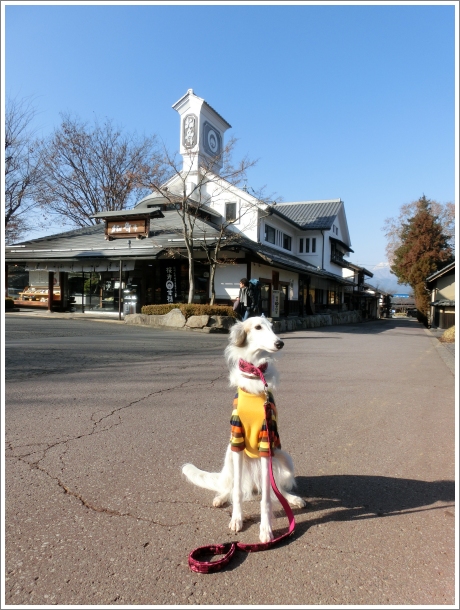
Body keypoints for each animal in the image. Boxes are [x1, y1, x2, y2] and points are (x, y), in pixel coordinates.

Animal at [182, 316, 305, 543]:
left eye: (272, 327)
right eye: (257, 327)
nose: (280, 343)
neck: (256, 377)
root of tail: (254, 483)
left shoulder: (266, 443)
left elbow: (267, 499)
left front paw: (266, 529)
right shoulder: (237, 441)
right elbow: (237, 492)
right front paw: (237, 519)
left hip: (282, 458)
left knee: (275, 490)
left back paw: (292, 499)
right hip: (229, 455)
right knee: (230, 487)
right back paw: (221, 497)